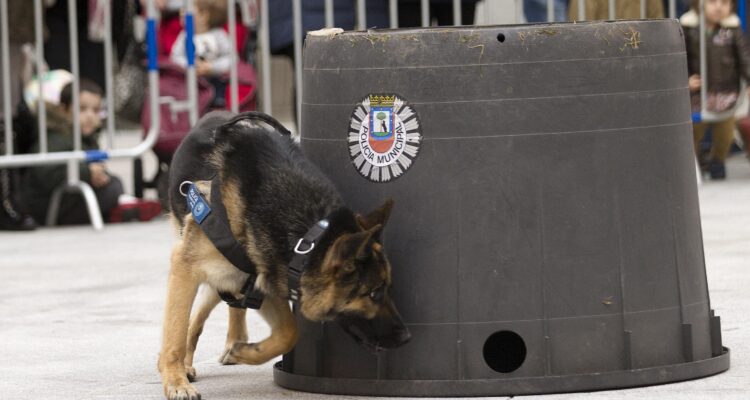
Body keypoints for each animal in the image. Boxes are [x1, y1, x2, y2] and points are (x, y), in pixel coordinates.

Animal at [158, 111, 411, 400]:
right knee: (189, 320)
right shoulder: (185, 266)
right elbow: (175, 333)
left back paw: (232, 342)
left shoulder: (265, 275)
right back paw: (183, 366)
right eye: (374, 293)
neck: (307, 237)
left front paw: (245, 351)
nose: (406, 337)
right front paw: (175, 381)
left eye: (388, 289)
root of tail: (215, 114)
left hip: (228, 277)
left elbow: (289, 332)